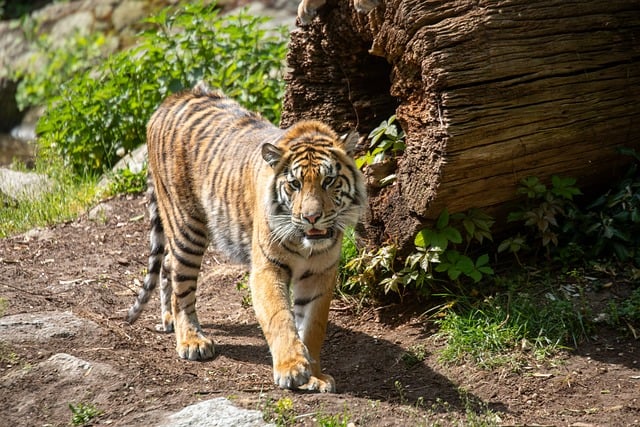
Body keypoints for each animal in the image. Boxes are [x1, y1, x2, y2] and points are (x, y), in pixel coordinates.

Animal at [125, 81, 364, 394]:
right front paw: (291, 369)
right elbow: (280, 318)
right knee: (181, 286)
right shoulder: (267, 269)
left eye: (329, 181)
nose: (312, 217)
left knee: (167, 265)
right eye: (295, 184)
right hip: (187, 226)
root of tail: (172, 99)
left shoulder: (320, 273)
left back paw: (168, 321)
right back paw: (191, 340)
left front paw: (315, 375)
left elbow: (312, 327)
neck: (307, 245)